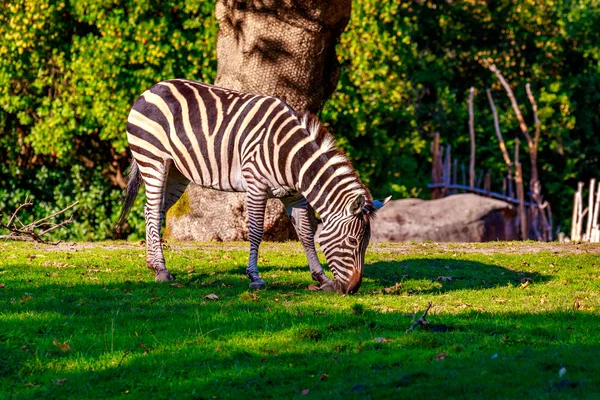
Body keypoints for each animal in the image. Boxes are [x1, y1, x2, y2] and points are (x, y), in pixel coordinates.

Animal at [117, 79, 390, 296]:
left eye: (366, 242)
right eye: (353, 241)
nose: (353, 289)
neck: (290, 157)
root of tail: (153, 88)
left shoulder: (295, 195)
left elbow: (306, 234)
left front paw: (321, 279)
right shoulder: (256, 186)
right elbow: (257, 231)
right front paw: (255, 277)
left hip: (176, 172)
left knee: (152, 212)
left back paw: (152, 264)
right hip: (153, 161)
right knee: (153, 211)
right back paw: (161, 270)